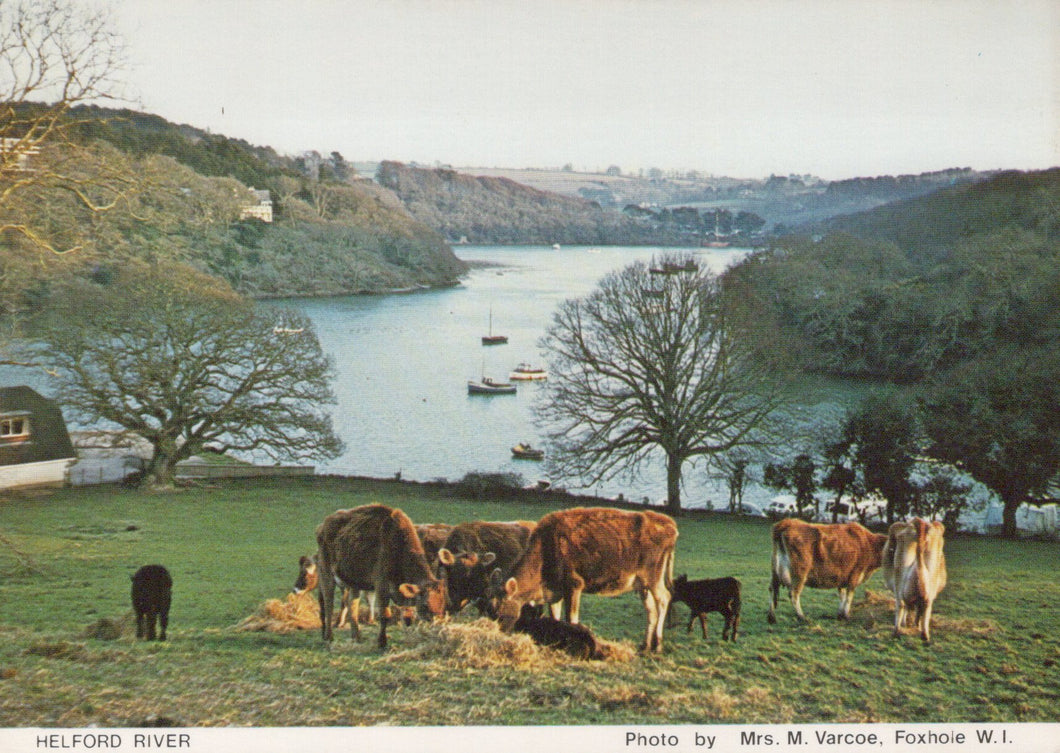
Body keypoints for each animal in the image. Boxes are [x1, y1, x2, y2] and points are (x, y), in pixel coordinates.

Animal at [312, 504, 446, 649]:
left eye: (442, 603)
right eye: (426, 604)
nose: (438, 623)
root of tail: (322, 526)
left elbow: (408, 617)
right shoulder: (381, 587)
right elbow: (384, 615)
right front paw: (382, 643)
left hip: (353, 582)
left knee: (352, 604)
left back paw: (357, 637)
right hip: (326, 575)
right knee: (328, 604)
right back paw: (329, 637)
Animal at [494, 507, 677, 653]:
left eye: (501, 612)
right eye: (491, 610)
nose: (500, 633)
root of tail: (671, 526)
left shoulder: (574, 584)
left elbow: (571, 618)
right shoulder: (555, 591)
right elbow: (555, 617)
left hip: (653, 576)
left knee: (664, 599)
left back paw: (658, 645)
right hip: (642, 584)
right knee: (651, 610)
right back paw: (645, 646)